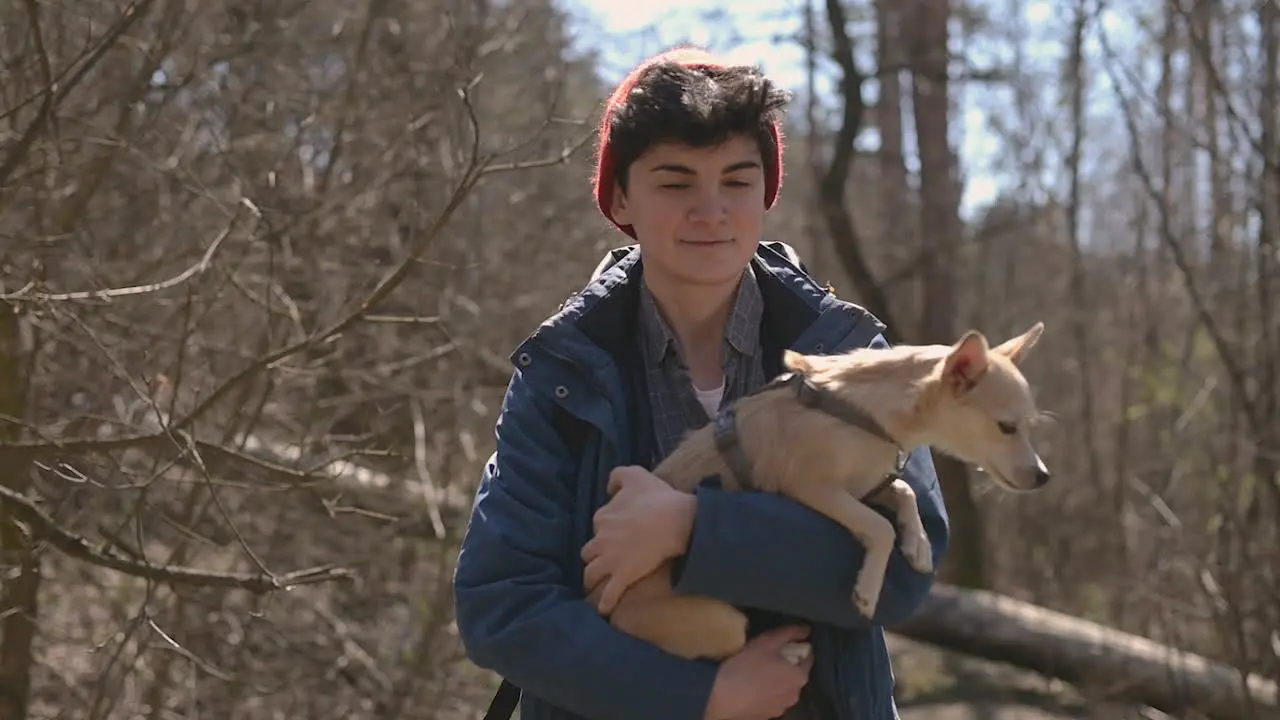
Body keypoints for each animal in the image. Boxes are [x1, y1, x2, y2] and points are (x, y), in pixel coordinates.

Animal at [596, 322, 1049, 661]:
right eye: (1007, 428)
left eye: (1029, 426)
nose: (1044, 476)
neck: (866, 415)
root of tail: (597, 600)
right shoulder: (813, 488)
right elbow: (878, 527)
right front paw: (868, 589)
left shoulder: (867, 484)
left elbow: (903, 490)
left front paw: (918, 544)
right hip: (719, 622)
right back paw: (786, 654)